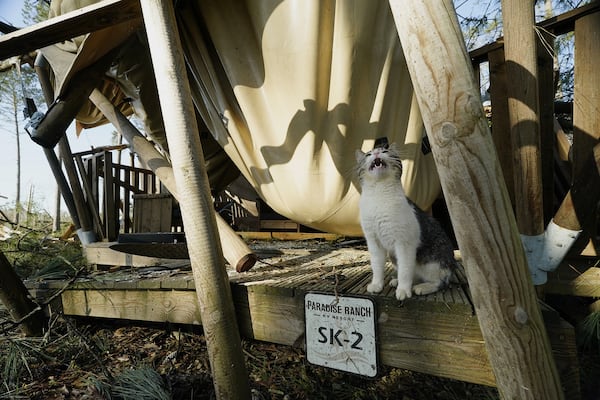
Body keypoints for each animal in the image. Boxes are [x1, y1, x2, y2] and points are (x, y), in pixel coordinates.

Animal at [354, 141, 458, 300]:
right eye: (368, 154)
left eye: (385, 151)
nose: (377, 153)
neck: (379, 194)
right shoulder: (373, 242)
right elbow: (377, 266)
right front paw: (377, 284)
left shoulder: (404, 243)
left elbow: (405, 270)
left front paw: (403, 290)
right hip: (393, 256)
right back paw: (397, 281)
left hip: (433, 263)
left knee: (440, 281)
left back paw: (422, 287)